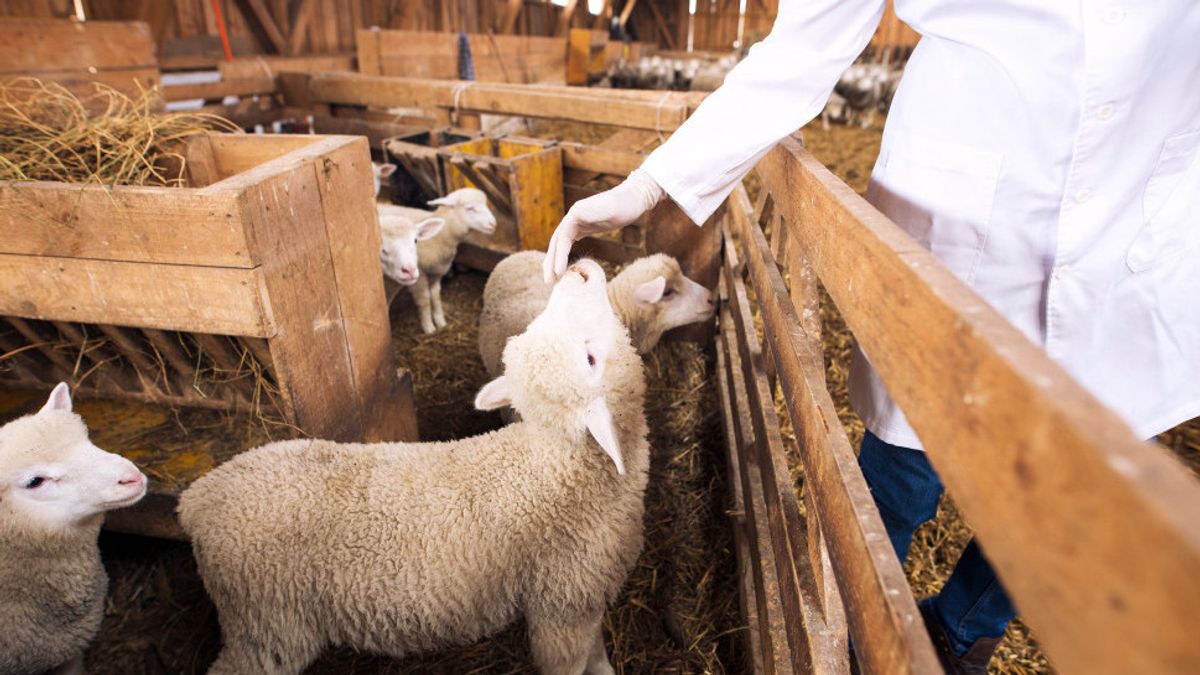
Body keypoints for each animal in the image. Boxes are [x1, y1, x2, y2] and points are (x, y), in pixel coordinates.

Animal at [177, 257, 648, 672]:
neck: (556, 465)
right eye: (589, 359)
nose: (577, 270)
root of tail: (198, 498)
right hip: (268, 624)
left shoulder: (586, 599)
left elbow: (597, 652)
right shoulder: (562, 605)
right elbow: (573, 663)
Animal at [384, 184, 496, 331]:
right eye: (470, 208)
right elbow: (425, 299)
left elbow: (436, 296)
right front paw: (429, 327)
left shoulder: (436, 271)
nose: (494, 224)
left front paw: (440, 322)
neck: (439, 236)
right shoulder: (419, 274)